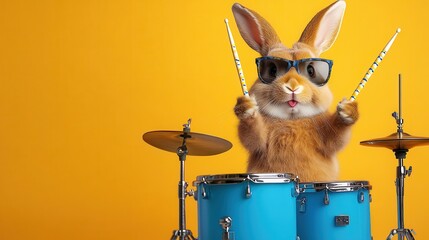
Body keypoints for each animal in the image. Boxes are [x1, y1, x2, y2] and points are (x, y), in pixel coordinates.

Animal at [231, 0, 358, 181]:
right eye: (272, 70)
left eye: (311, 70)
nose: (292, 86)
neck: (291, 120)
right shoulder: (259, 141)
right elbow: (252, 137)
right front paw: (246, 107)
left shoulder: (327, 135)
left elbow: (337, 137)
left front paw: (348, 110)